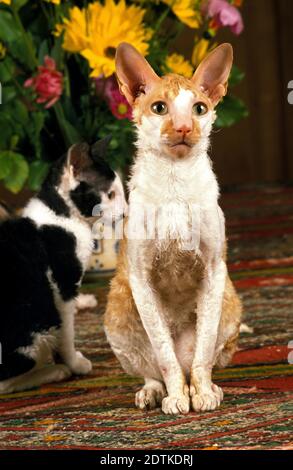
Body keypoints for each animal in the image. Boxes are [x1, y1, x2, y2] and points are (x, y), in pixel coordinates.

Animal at [0, 138, 125, 394]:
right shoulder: (63, 288)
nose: (126, 212)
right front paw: (74, 364)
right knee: (4, 383)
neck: (61, 216)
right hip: (38, 322)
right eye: (110, 194)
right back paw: (53, 372)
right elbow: (67, 333)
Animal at [104, 42, 241, 414]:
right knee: (156, 367)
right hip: (117, 312)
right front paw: (177, 398)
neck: (176, 184)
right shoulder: (141, 278)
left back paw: (208, 387)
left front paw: (203, 393)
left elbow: (204, 351)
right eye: (159, 108)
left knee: (197, 359)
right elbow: (164, 355)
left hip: (230, 303)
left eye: (199, 108)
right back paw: (154, 392)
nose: (182, 127)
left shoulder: (213, 271)